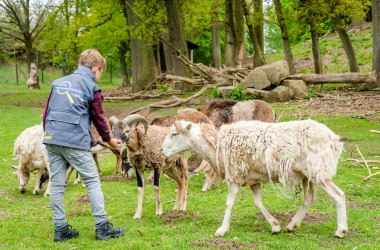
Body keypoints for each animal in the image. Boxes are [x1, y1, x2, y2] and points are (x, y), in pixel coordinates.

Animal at [160, 119, 348, 238]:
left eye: (175, 133)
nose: (161, 151)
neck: (216, 146)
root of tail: (335, 140)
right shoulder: (253, 180)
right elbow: (258, 203)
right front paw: (275, 226)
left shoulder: (235, 175)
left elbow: (229, 203)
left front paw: (222, 229)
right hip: (307, 175)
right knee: (309, 199)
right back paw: (291, 225)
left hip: (319, 170)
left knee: (338, 195)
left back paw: (340, 231)